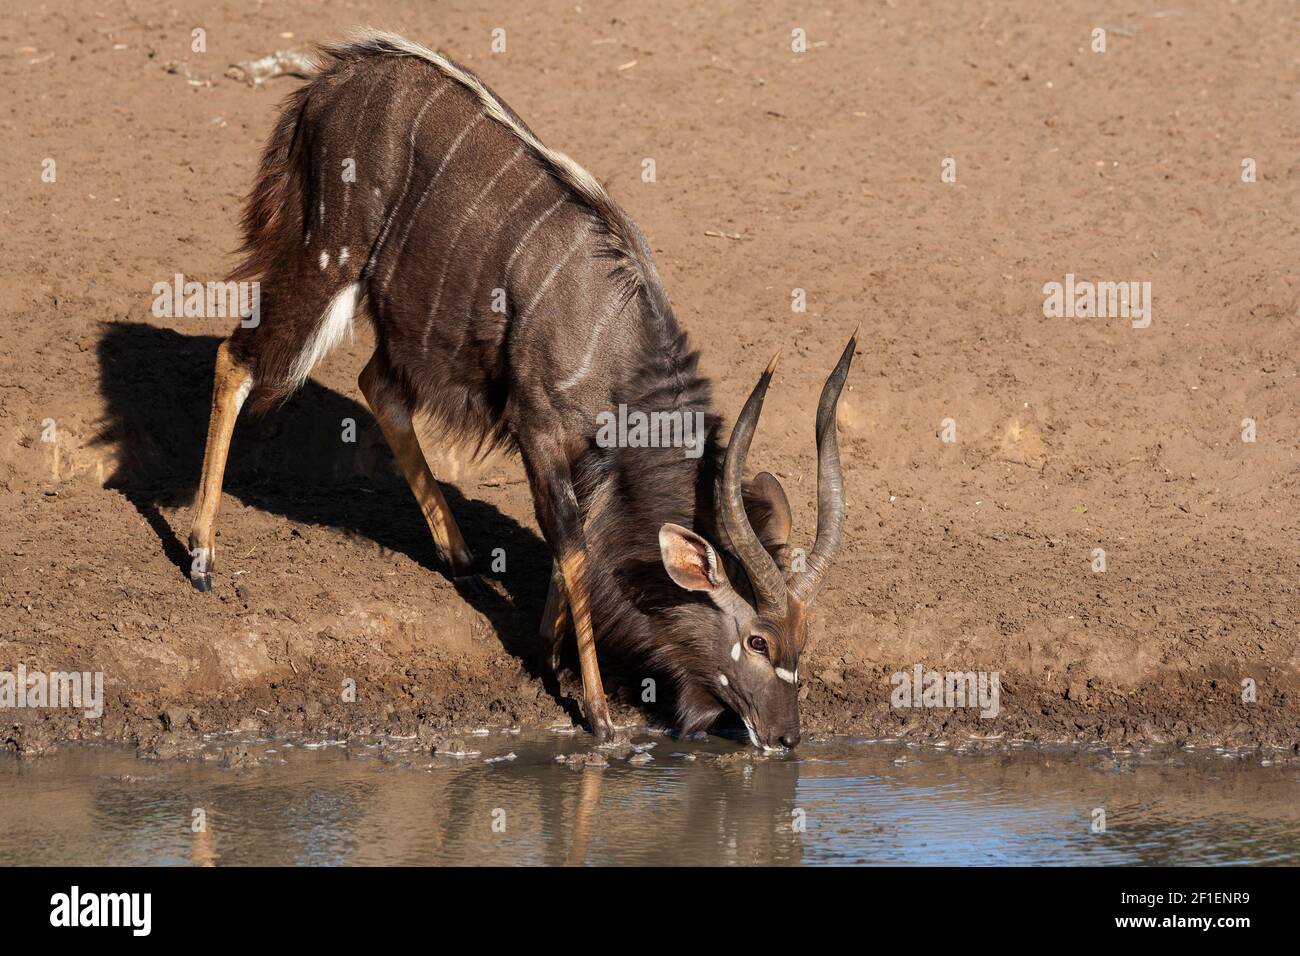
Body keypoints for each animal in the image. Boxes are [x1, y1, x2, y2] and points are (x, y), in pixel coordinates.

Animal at [185, 31, 852, 749]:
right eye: (757, 641)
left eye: (802, 642)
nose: (787, 737)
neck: (616, 341)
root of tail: (329, 81)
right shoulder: (539, 427)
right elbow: (572, 544)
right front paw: (599, 714)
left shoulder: (593, 458)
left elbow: (577, 545)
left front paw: (549, 652)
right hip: (327, 258)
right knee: (237, 357)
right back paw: (201, 557)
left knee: (376, 383)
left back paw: (459, 555)